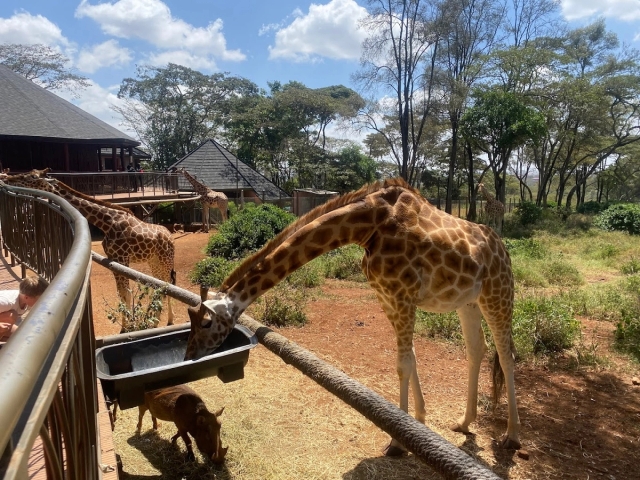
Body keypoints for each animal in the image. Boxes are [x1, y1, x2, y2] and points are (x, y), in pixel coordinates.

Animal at [4, 170, 178, 330]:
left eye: (32, 176)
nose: (7, 178)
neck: (107, 223)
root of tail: (170, 236)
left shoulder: (123, 258)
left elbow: (126, 293)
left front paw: (129, 327)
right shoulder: (114, 260)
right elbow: (122, 294)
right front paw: (125, 327)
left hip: (165, 260)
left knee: (168, 285)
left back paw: (166, 320)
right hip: (153, 261)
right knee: (161, 286)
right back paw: (156, 321)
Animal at [184, 178, 520, 452]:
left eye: (205, 323)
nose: (188, 356)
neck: (367, 226)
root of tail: (503, 249)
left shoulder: (403, 296)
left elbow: (402, 365)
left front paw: (397, 442)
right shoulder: (388, 297)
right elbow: (410, 359)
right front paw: (418, 423)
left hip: (498, 293)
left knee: (505, 355)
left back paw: (511, 437)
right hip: (468, 302)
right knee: (477, 349)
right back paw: (465, 423)